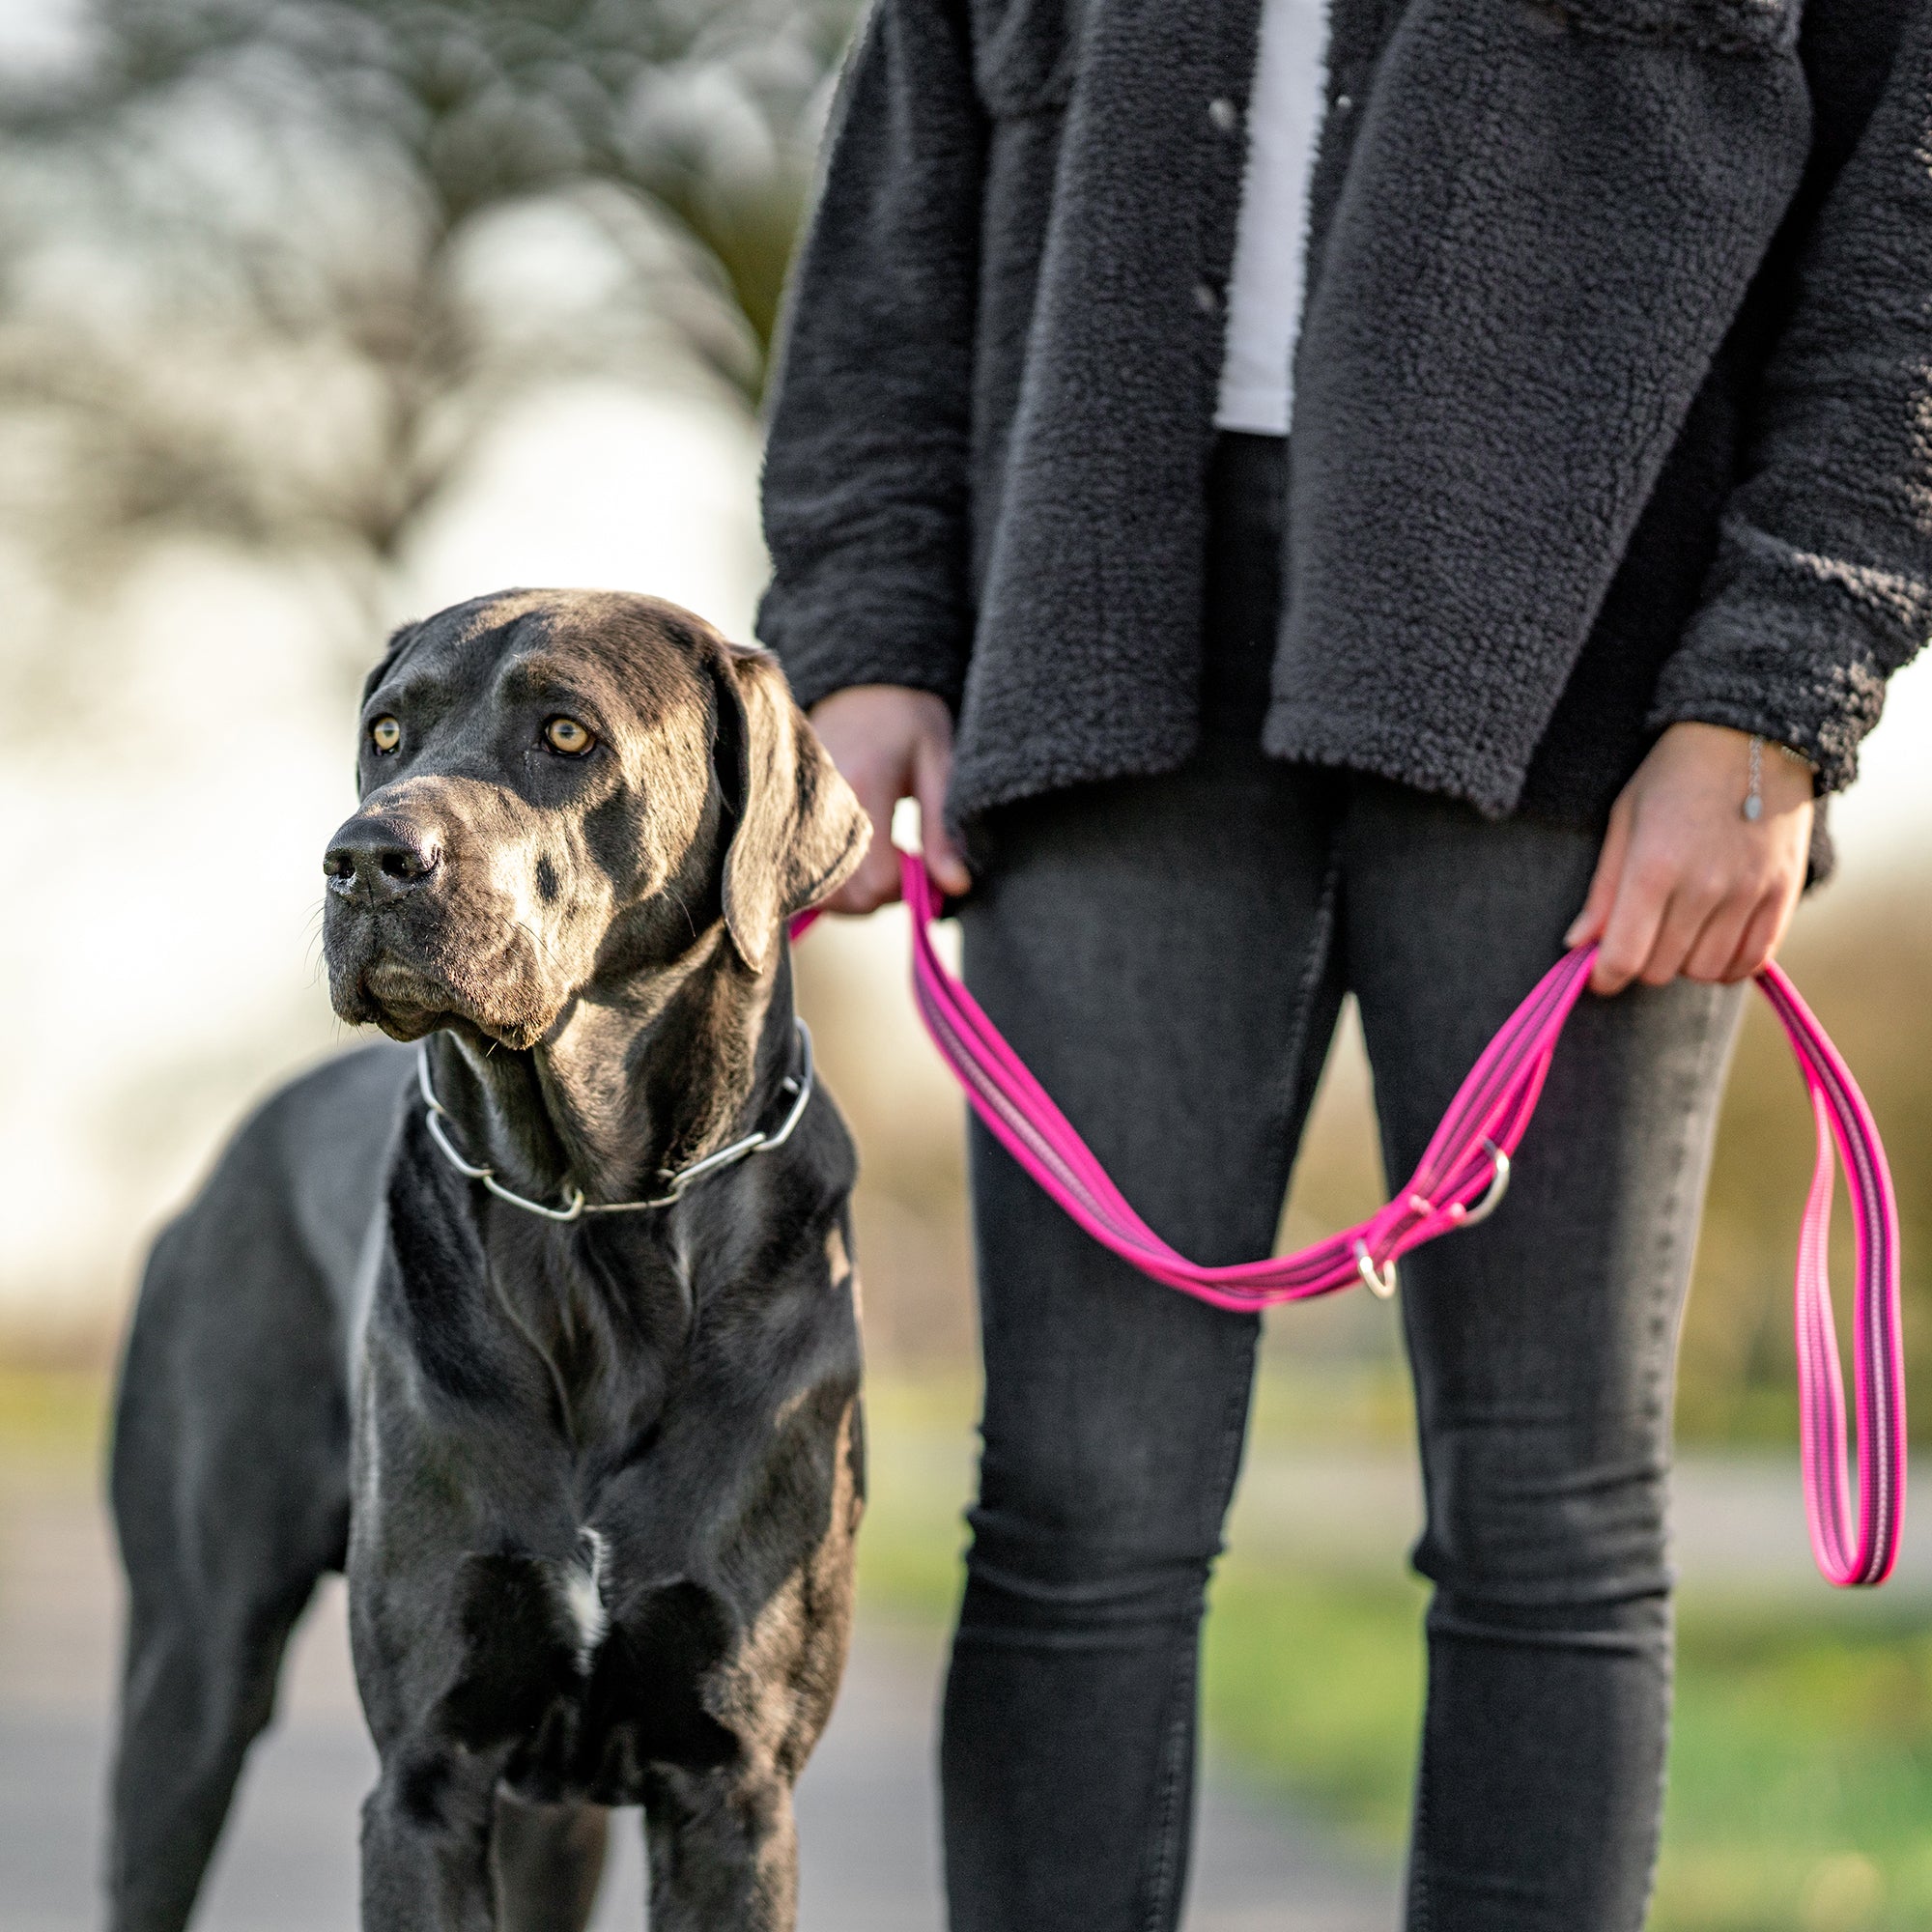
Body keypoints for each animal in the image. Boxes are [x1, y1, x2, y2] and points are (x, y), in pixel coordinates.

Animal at [99, 591, 869, 1932]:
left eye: (565, 732)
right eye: (386, 732)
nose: (363, 859)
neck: (594, 1212)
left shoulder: (732, 1786)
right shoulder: (427, 1776)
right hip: (187, 1672)